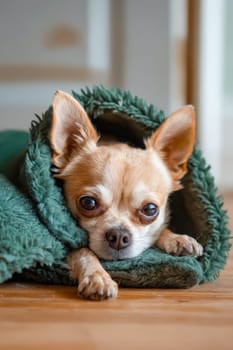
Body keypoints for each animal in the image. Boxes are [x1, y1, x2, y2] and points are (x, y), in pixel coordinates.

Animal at [50, 91, 203, 300]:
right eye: (88, 203)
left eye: (150, 209)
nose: (118, 235)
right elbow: (83, 251)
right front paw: (97, 277)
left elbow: (159, 229)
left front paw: (177, 239)